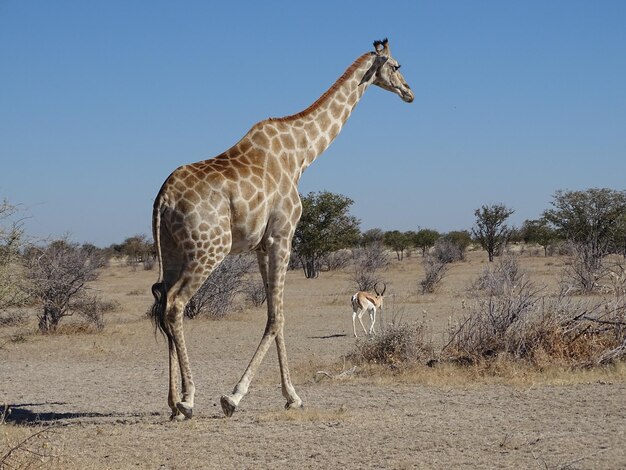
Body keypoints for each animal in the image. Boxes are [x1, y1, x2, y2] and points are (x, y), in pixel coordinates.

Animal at [149, 38, 412, 420]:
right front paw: (235, 397)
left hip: (171, 250)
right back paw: (188, 399)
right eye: (396, 65)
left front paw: (291, 396)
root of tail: (162, 199)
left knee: (162, 300)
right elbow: (277, 318)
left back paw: (172, 403)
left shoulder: (263, 245)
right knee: (175, 304)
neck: (301, 154)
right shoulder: (283, 237)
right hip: (208, 249)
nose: (410, 92)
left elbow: (275, 315)